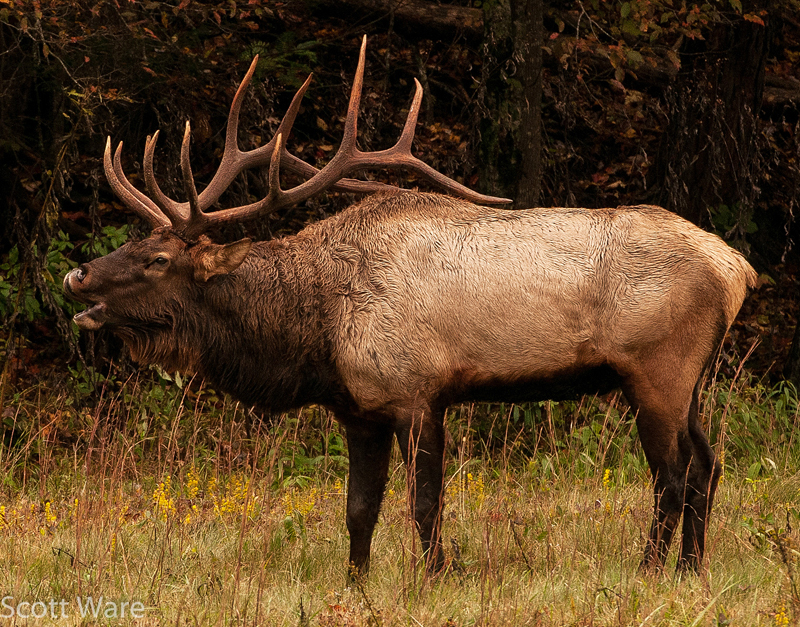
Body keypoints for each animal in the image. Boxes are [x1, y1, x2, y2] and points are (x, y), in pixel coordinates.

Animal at [63, 36, 757, 577]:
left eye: (158, 259)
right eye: (135, 243)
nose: (78, 276)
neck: (315, 333)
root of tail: (736, 268)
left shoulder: (418, 392)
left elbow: (425, 504)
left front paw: (433, 578)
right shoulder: (359, 408)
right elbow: (358, 510)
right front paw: (356, 585)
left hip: (656, 369)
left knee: (672, 475)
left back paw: (652, 570)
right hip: (692, 379)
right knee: (708, 464)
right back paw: (692, 568)